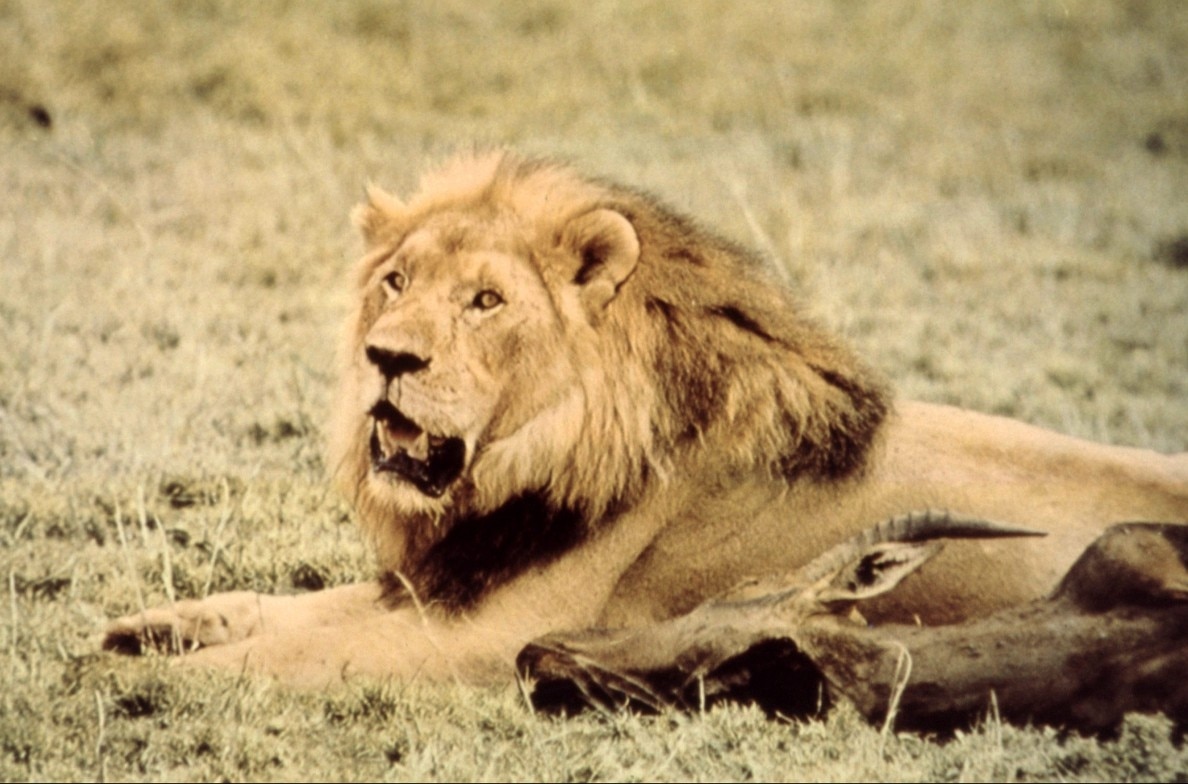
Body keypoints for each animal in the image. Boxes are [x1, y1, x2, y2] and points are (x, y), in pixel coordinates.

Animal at [104, 150, 1188, 686]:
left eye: (486, 302)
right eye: (396, 282)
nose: (390, 358)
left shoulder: (491, 635)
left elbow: (288, 649)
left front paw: (138, 685)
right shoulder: (442, 582)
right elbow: (279, 608)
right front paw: (151, 627)